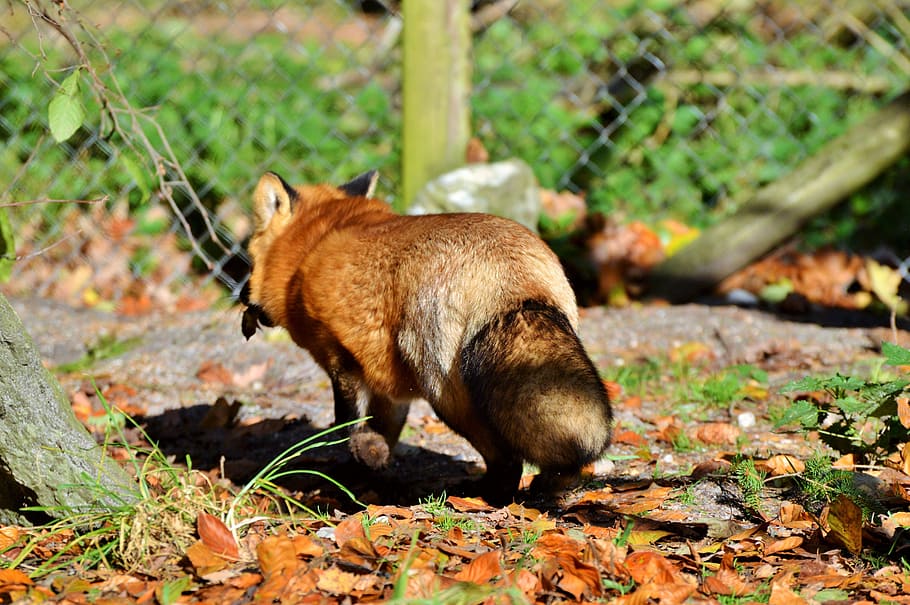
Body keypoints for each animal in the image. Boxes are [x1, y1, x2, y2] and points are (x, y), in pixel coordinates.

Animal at [239, 170, 612, 503]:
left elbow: (346, 427)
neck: (311, 249)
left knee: (506, 462)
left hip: (443, 393)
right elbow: (384, 431)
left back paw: (483, 495)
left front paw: (356, 467)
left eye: (250, 259)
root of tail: (508, 272)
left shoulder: (340, 357)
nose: (243, 297)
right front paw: (371, 471)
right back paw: (555, 483)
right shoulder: (385, 382)